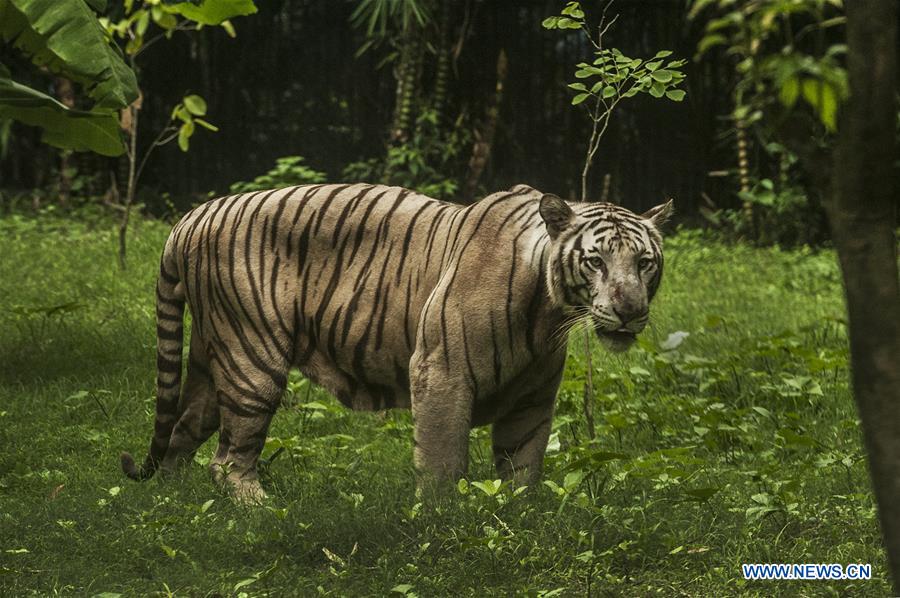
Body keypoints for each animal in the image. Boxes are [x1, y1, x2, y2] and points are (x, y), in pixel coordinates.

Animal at [121, 183, 673, 501]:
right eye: (596, 261)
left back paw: (172, 505)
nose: (630, 311)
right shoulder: (441, 373)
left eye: (644, 262)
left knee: (182, 432)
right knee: (228, 459)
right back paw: (261, 510)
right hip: (251, 356)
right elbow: (443, 460)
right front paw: (443, 525)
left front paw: (520, 521)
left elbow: (524, 467)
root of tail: (192, 216)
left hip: (211, 358)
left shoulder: (533, 399)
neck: (548, 312)